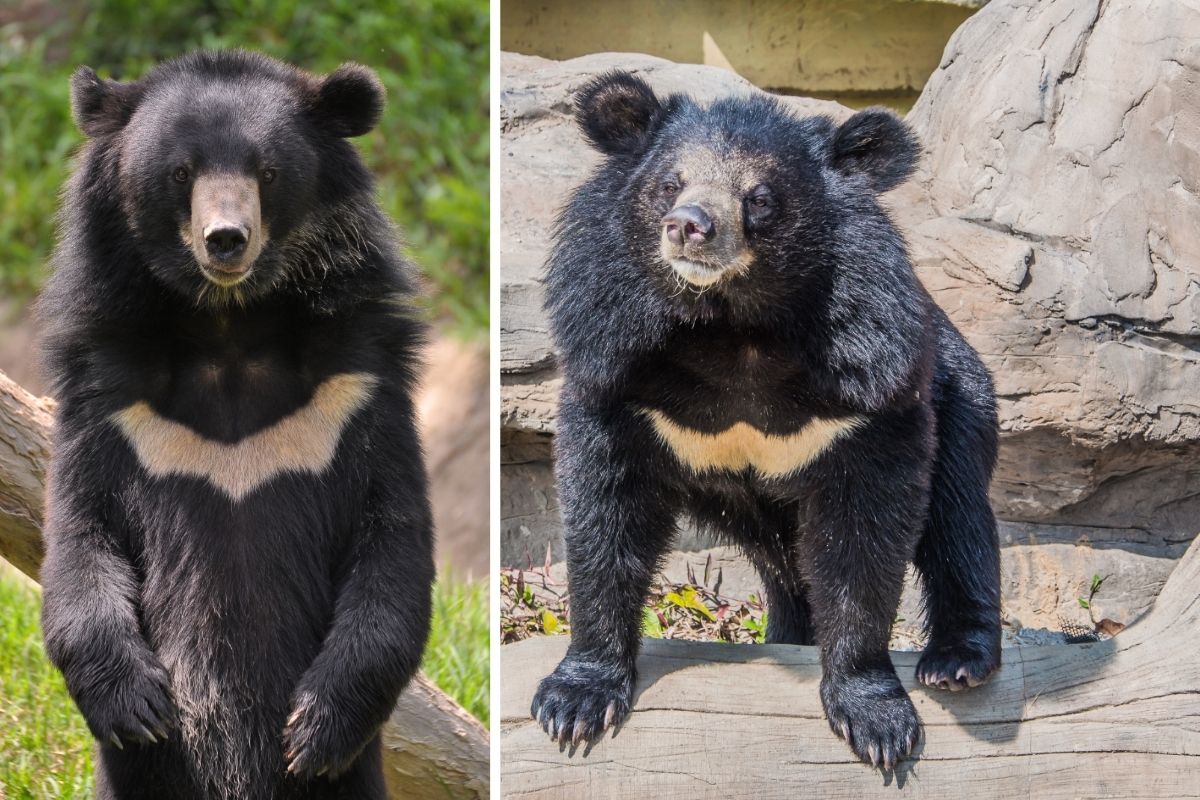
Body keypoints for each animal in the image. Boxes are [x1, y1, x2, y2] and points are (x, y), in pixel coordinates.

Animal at [39, 51, 434, 800]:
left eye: (268, 171)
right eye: (179, 173)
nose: (226, 240)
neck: (228, 324)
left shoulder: (357, 389)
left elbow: (391, 545)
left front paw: (313, 729)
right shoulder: (106, 400)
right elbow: (80, 539)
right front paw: (139, 708)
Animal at [535, 74, 1003, 767]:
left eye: (758, 197)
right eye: (669, 184)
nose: (688, 227)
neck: (733, 327)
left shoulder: (870, 383)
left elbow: (865, 536)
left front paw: (876, 719)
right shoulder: (611, 359)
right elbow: (604, 509)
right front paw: (574, 704)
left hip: (961, 394)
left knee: (957, 515)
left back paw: (957, 661)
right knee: (790, 571)